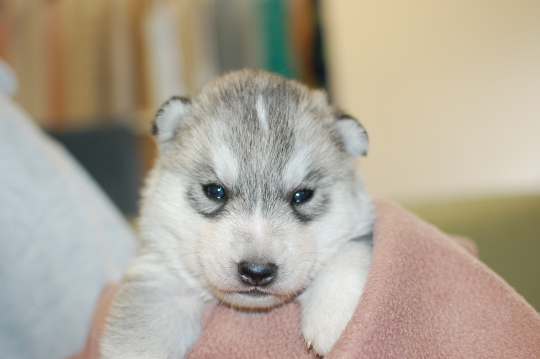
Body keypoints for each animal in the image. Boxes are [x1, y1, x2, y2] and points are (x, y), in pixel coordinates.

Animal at [101, 69, 374, 358]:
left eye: (302, 195)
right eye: (215, 191)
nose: (257, 271)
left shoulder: (361, 225)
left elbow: (348, 251)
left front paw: (336, 316)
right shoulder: (159, 274)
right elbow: (142, 337)